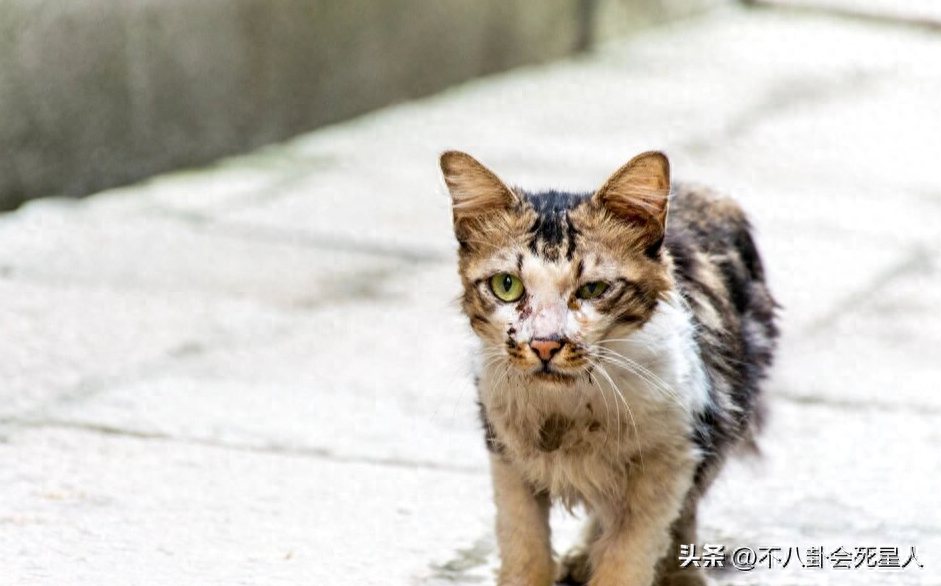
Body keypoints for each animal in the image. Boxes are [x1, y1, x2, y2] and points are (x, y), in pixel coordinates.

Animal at [440, 151, 780, 584]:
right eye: (507, 286)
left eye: (593, 290)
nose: (545, 344)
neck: (571, 408)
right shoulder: (507, 458)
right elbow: (524, 551)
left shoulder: (672, 459)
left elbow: (628, 557)